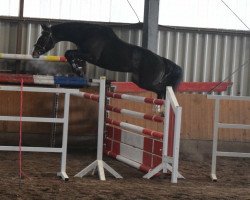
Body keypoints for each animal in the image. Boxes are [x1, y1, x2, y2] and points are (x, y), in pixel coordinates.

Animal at [32, 21, 183, 98]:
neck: (86, 34)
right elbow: (70, 55)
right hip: (138, 80)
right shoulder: (83, 54)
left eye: (43, 38)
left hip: (147, 82)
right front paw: (79, 70)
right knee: (160, 90)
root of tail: (162, 61)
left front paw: (78, 71)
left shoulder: (91, 56)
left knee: (163, 90)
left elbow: (69, 53)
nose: (34, 53)